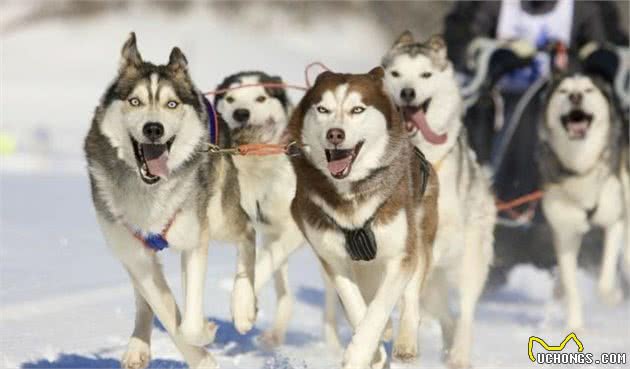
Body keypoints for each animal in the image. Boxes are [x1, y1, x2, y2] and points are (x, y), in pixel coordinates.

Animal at [85, 33, 258, 366]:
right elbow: (166, 313)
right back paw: (137, 346)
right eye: (135, 101)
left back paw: (243, 308)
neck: (149, 191)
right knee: (144, 301)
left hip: (219, 216)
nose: (154, 128)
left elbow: (187, 325)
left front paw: (205, 335)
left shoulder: (194, 240)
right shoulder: (136, 256)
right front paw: (201, 356)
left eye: (172, 104)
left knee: (247, 230)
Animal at [290, 67, 440, 368]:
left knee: (411, 294)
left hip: (420, 234)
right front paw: (371, 352)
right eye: (323, 109)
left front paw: (359, 353)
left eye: (357, 109)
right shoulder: (333, 259)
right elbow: (356, 306)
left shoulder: (400, 255)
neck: (350, 194)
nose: (335, 134)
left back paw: (405, 341)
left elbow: (380, 306)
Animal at [380, 30, 498, 366]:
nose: (407, 92)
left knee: (466, 311)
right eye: (396, 74)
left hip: (470, 260)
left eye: (425, 75)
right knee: (445, 314)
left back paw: (458, 354)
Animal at [540, 73, 630, 330]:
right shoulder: (565, 232)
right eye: (563, 91)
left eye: (589, 90)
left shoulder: (615, 219)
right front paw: (574, 326)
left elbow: (606, 274)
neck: (581, 168)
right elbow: (571, 284)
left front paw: (610, 295)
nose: (575, 96)